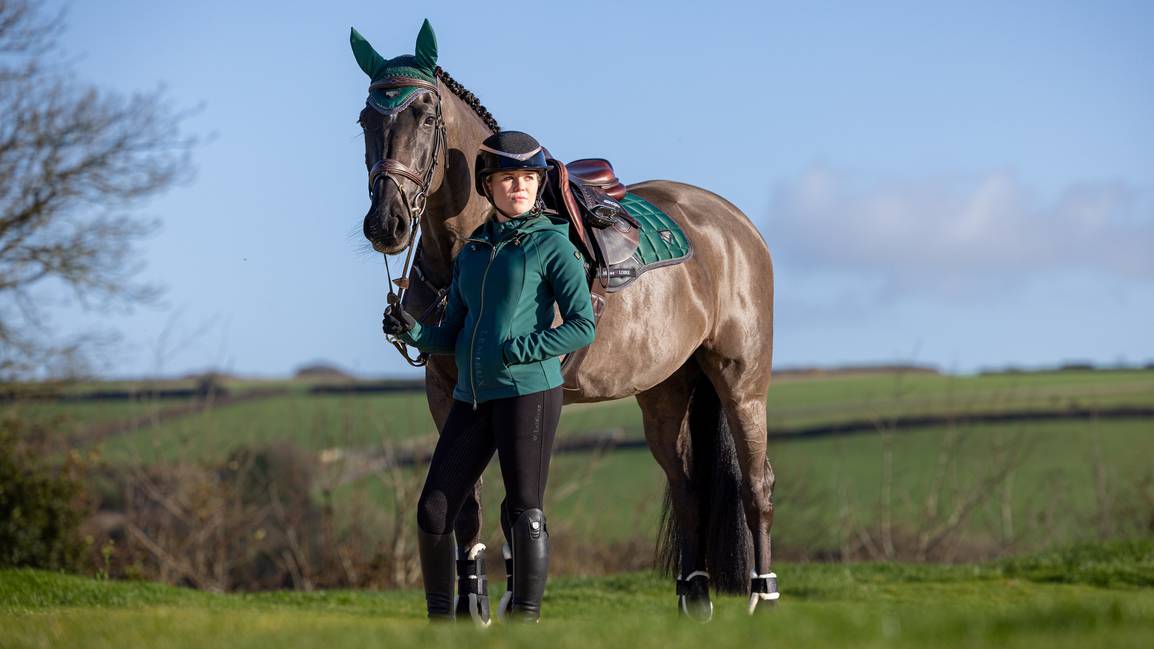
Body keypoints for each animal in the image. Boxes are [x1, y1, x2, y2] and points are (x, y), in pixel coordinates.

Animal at [348, 21, 775, 614]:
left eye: (426, 117)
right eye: (367, 120)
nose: (385, 224)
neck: (481, 244)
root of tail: (737, 225)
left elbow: (516, 504)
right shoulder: (446, 393)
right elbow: (468, 505)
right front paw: (475, 602)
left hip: (742, 382)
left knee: (757, 485)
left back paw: (763, 595)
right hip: (666, 392)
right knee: (688, 488)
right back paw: (693, 595)